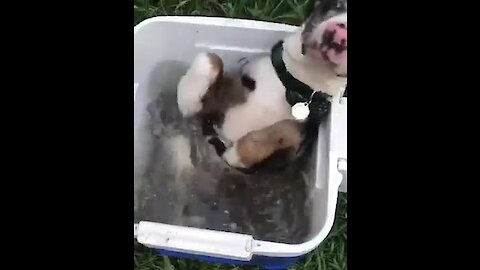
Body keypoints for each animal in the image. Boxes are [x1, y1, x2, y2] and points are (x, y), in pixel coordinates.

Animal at [178, 0, 346, 172]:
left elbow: (283, 129)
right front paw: (189, 99)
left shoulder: (296, 146)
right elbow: (210, 59)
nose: (341, 33)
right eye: (338, 4)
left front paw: (237, 154)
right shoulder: (215, 108)